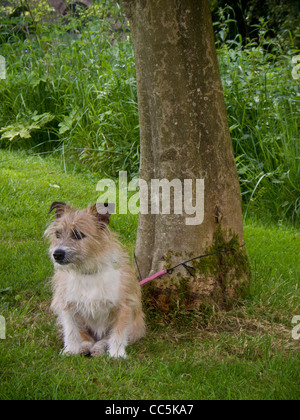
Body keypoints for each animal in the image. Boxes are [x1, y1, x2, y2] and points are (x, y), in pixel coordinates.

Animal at [44, 203, 146, 358]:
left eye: (78, 234)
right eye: (57, 234)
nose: (57, 254)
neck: (87, 272)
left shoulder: (124, 307)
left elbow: (118, 333)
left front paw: (117, 354)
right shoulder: (67, 306)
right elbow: (71, 331)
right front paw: (70, 350)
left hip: (135, 324)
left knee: (106, 338)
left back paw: (99, 347)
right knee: (86, 337)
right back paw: (84, 346)